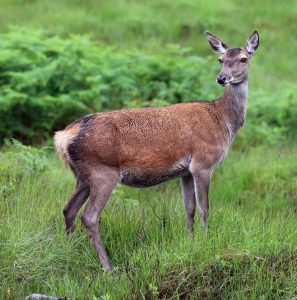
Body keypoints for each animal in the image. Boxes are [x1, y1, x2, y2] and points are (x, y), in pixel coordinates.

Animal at [53, 30, 260, 272]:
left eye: (243, 59)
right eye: (221, 59)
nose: (221, 78)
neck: (223, 121)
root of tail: (63, 137)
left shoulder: (185, 171)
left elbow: (189, 208)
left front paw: (191, 243)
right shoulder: (203, 162)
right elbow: (204, 208)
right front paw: (207, 242)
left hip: (82, 175)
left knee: (68, 209)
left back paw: (71, 253)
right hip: (102, 171)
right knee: (89, 216)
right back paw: (108, 267)